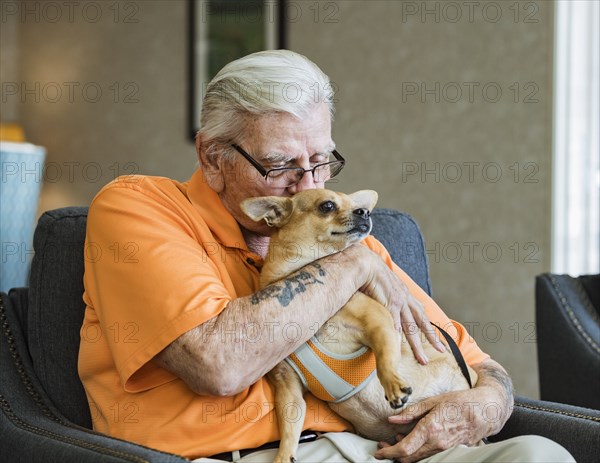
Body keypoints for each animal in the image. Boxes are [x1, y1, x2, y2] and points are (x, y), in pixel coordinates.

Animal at [240, 189, 478, 463]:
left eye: (356, 205)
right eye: (327, 206)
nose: (364, 212)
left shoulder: (379, 321)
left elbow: (385, 359)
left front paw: (393, 385)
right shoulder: (288, 386)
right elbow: (290, 427)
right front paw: (283, 456)